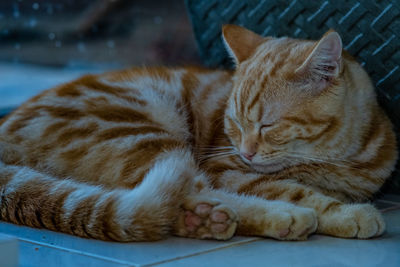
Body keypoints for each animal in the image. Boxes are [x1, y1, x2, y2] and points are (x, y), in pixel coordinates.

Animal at [0, 25, 396, 243]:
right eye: (234, 123)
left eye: (267, 125)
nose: (247, 152)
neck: (338, 159)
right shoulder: (231, 171)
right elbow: (297, 190)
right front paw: (347, 214)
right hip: (141, 134)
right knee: (189, 189)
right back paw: (281, 217)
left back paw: (203, 219)